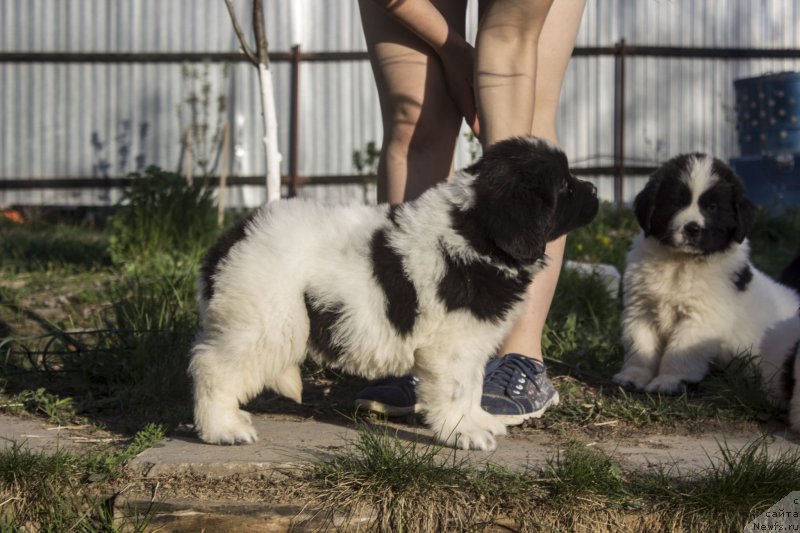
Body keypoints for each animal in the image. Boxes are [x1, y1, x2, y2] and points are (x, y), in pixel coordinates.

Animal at [189, 136, 600, 448]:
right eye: (564, 185)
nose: (596, 189)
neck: (475, 233)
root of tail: (232, 237)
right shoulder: (450, 346)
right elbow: (455, 390)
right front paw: (463, 433)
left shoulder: (470, 344)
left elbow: (471, 386)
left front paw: (478, 420)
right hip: (266, 321)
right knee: (214, 368)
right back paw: (223, 428)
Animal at [612, 152, 800, 392]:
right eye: (676, 202)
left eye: (712, 207)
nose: (692, 229)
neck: (680, 263)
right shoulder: (641, 308)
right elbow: (640, 344)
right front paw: (633, 376)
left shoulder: (701, 317)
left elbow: (680, 351)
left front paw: (669, 381)